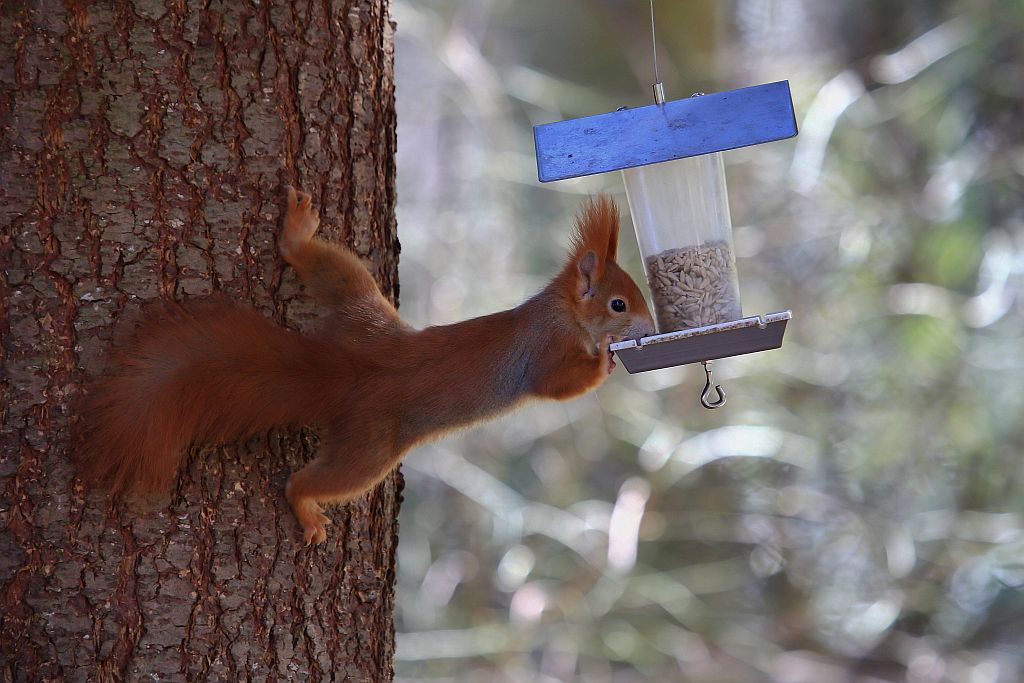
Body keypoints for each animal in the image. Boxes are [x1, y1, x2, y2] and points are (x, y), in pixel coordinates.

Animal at [79, 187, 655, 544]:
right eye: (618, 304)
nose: (648, 325)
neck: (563, 312)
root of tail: (352, 370)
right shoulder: (543, 353)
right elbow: (560, 385)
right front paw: (604, 362)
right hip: (371, 449)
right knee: (314, 481)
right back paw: (305, 505)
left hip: (358, 304)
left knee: (325, 267)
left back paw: (296, 235)